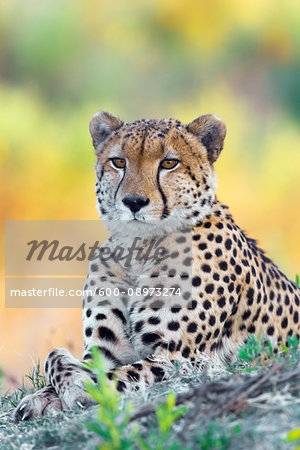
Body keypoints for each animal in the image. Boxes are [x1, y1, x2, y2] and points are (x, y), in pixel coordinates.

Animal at [14, 110, 300, 420]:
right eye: (119, 162)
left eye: (169, 163)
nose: (134, 202)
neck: (139, 251)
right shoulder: (106, 351)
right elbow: (54, 357)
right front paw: (42, 397)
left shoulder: (180, 358)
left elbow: (119, 373)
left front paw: (78, 388)